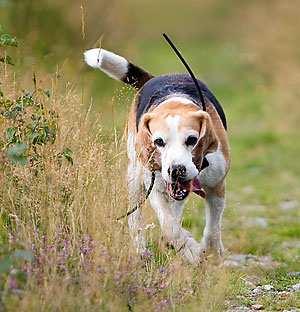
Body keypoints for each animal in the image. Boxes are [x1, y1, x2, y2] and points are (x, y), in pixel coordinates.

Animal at [84, 48, 230, 264]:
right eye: (159, 142)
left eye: (192, 140)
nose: (177, 170)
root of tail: (155, 78)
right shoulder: (155, 186)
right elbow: (170, 228)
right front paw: (191, 250)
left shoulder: (216, 185)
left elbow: (212, 227)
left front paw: (211, 250)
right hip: (135, 175)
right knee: (135, 216)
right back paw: (142, 250)